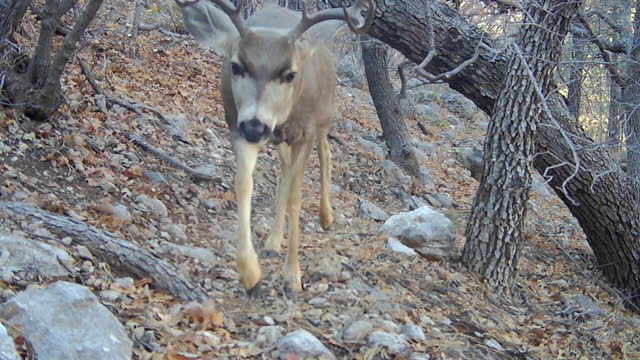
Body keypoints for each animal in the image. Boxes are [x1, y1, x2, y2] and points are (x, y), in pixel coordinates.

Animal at [175, 0, 376, 296]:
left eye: (290, 73)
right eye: (236, 66)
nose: (255, 126)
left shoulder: (305, 131)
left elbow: (296, 197)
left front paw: (292, 279)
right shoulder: (236, 125)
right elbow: (244, 184)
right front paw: (250, 272)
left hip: (325, 115)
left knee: (325, 152)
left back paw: (326, 216)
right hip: (280, 140)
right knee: (284, 170)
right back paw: (272, 242)